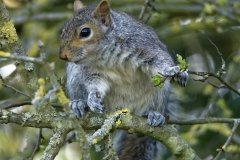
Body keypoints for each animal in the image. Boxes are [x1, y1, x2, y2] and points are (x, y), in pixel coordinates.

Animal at [58, 0, 188, 159]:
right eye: (63, 30)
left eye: (85, 32)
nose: (62, 56)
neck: (105, 54)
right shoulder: (90, 71)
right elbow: (94, 83)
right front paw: (92, 97)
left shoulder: (143, 45)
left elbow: (160, 60)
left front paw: (174, 71)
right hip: (75, 77)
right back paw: (79, 103)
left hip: (159, 93)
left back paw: (155, 114)